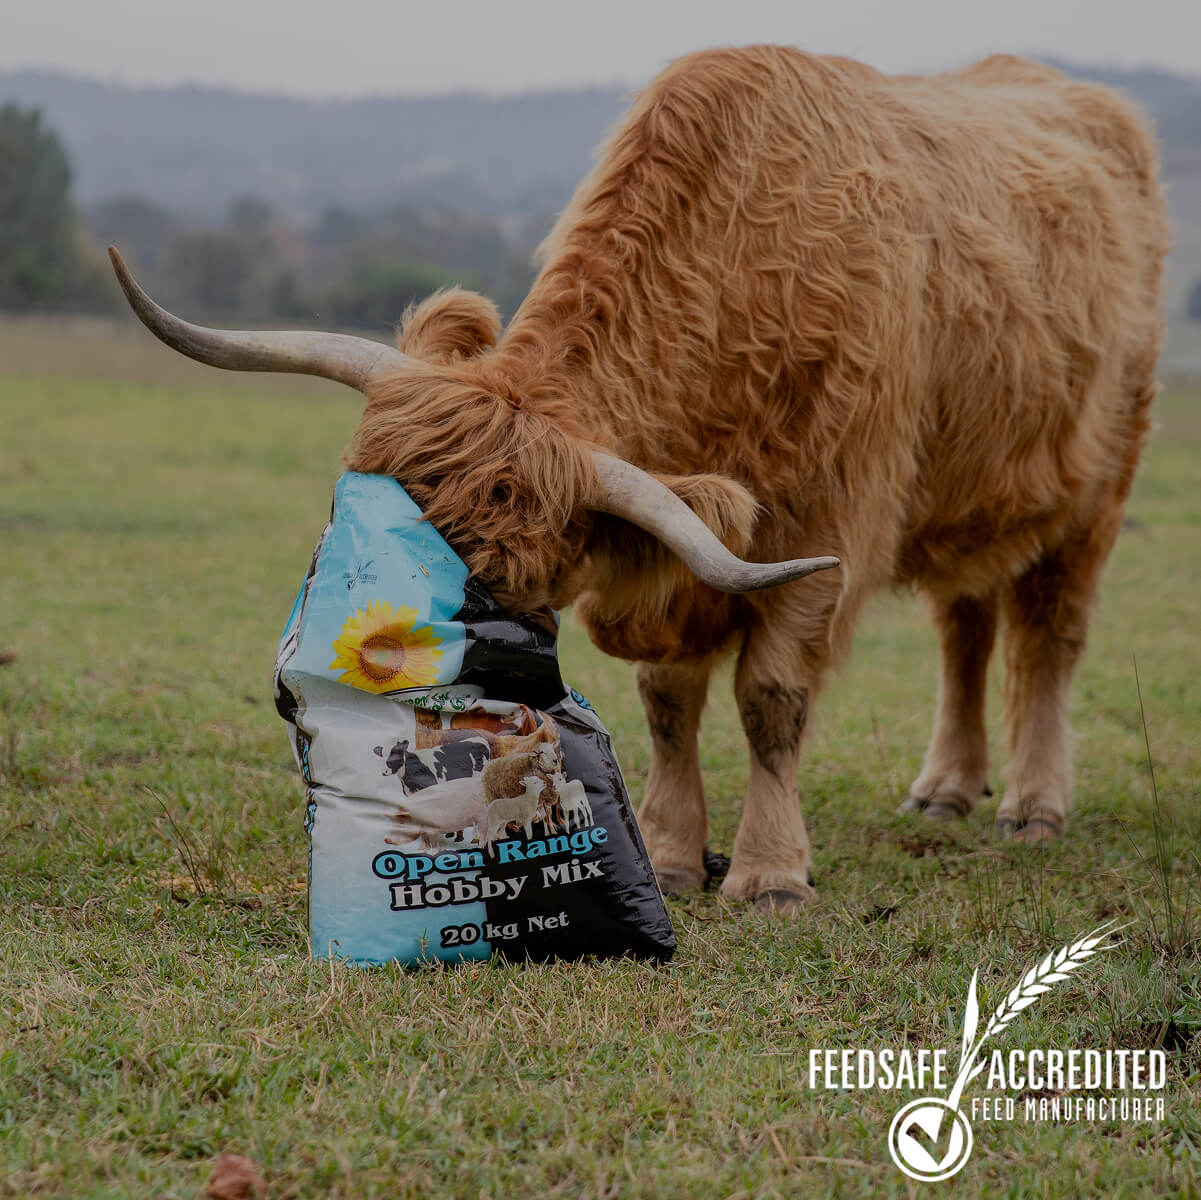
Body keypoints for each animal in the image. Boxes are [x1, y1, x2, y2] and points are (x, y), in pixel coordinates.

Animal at [109, 46, 1167, 913]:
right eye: (348, 524)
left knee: (1047, 640)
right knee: (965, 631)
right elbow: (669, 702)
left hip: (1097, 492)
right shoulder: (677, 572)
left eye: (490, 586)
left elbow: (770, 701)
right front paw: (668, 851)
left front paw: (769, 870)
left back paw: (1033, 804)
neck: (749, 279)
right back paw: (946, 789)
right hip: (972, 500)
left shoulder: (826, 530)